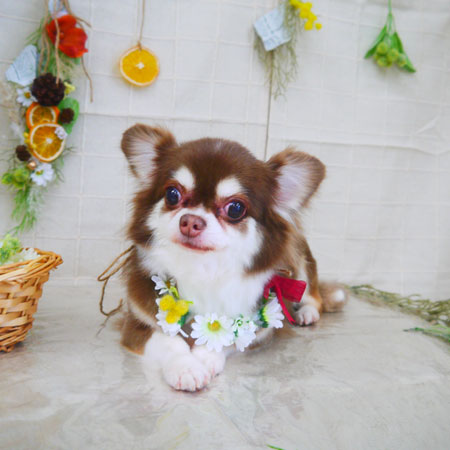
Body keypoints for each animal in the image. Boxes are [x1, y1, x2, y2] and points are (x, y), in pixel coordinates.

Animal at [119, 124, 347, 391]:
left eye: (236, 208)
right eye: (172, 194)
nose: (191, 221)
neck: (202, 269)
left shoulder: (259, 331)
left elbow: (226, 339)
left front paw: (204, 358)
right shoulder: (136, 325)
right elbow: (169, 341)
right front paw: (186, 367)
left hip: (300, 257)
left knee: (313, 295)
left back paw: (306, 313)